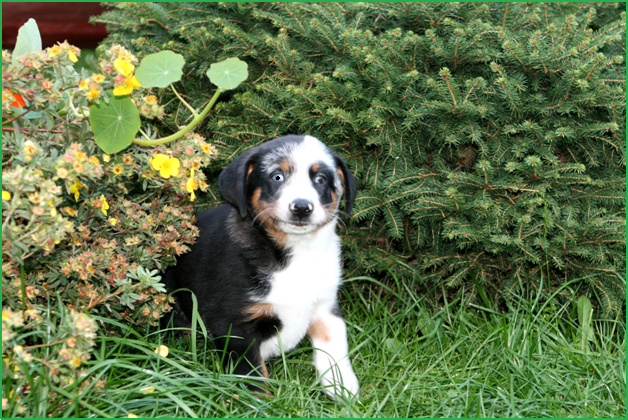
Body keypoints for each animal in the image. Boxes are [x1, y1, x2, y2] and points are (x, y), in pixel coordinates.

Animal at [162, 135, 358, 400]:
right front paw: (261, 403)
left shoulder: (325, 304)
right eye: (277, 177)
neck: (295, 250)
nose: (302, 207)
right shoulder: (235, 325)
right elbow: (252, 374)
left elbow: (335, 343)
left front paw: (342, 385)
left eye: (320, 180)